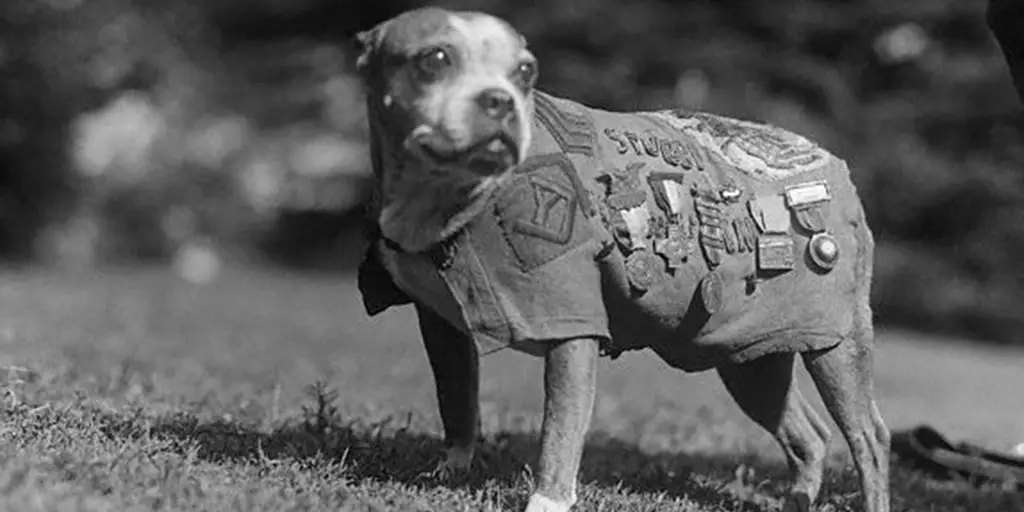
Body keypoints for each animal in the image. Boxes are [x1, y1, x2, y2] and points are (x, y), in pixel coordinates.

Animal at [350, 8, 888, 512]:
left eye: (525, 71)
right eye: (434, 59)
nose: (499, 99)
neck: (449, 199)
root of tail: (831, 162)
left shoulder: (572, 327)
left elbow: (559, 432)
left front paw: (545, 501)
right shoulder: (440, 326)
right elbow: (457, 401)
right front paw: (451, 470)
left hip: (837, 345)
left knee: (870, 439)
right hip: (750, 355)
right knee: (808, 436)